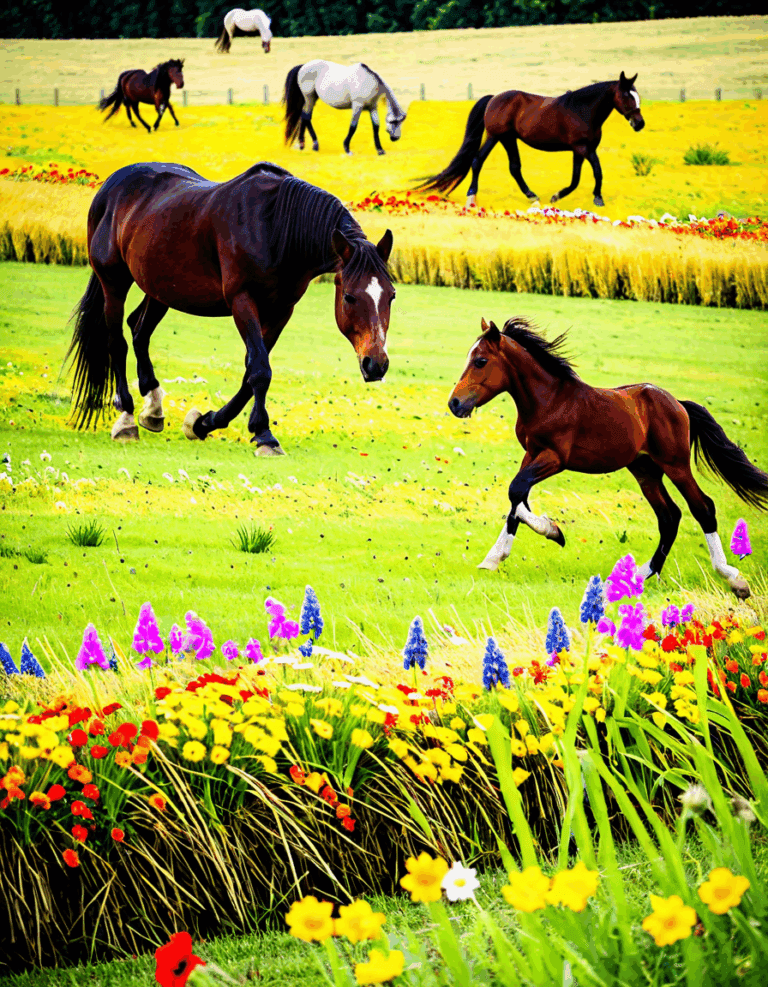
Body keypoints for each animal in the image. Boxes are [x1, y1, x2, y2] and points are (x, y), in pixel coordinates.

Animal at [66, 162, 395, 456]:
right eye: (349, 297)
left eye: (391, 295)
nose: (376, 365)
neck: (276, 227)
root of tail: (110, 187)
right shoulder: (242, 301)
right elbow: (260, 369)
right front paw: (264, 435)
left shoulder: (280, 311)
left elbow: (251, 374)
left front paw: (204, 423)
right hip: (113, 282)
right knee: (117, 341)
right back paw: (127, 417)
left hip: (159, 289)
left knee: (139, 330)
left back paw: (153, 405)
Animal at [418, 72, 644, 208]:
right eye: (626, 95)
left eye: (637, 95)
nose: (639, 123)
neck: (583, 110)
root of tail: (493, 98)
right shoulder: (583, 148)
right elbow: (596, 172)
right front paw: (597, 198)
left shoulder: (580, 150)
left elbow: (576, 178)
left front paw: (557, 196)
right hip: (495, 136)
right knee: (477, 161)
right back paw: (471, 197)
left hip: (508, 139)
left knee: (514, 167)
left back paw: (531, 195)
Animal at [448, 317, 767, 599]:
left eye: (480, 361)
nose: (454, 403)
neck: (547, 400)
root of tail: (679, 404)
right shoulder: (532, 453)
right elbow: (518, 497)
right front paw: (493, 558)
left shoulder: (555, 457)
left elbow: (516, 491)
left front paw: (553, 532)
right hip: (645, 470)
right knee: (669, 516)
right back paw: (639, 575)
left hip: (674, 464)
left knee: (702, 507)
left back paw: (733, 578)